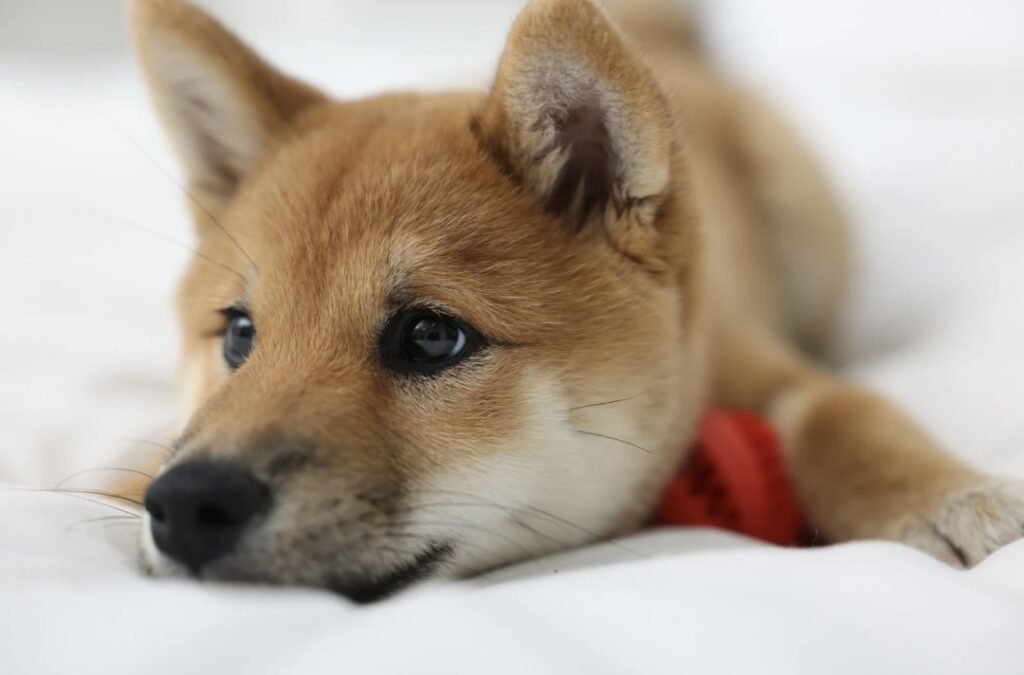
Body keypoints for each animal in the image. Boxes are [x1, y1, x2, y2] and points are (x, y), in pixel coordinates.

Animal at [130, 0, 1024, 602]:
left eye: (430, 336)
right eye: (238, 334)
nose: (187, 502)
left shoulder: (755, 361)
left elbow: (842, 414)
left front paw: (948, 500)